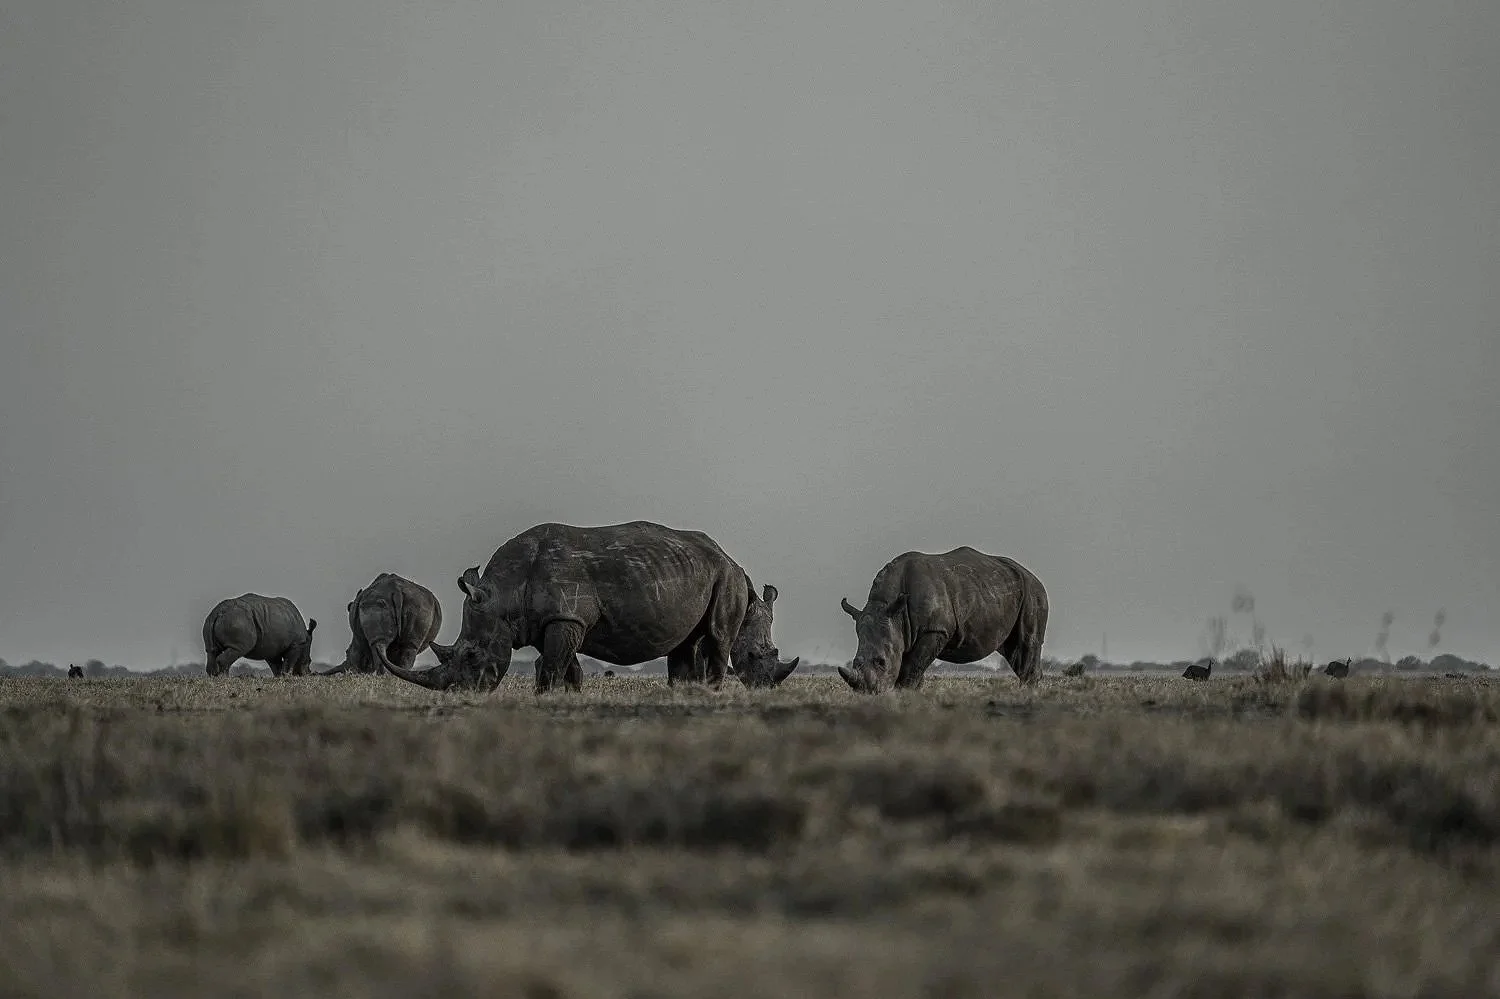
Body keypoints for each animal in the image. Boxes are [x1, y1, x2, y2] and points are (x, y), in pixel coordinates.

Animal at [382, 520, 799, 693]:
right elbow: (566, 666)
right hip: (698, 573)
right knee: (686, 642)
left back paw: (708, 694)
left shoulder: (565, 617)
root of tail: (731, 559)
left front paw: (545, 698)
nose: (461, 694)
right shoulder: (559, 620)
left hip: (724, 578)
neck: (502, 593)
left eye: (470, 656)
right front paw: (569, 698)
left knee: (715, 638)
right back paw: (685, 694)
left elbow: (552, 665)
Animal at [837, 547, 1048, 693]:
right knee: (1013, 650)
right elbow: (914, 669)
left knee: (1027, 642)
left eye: (881, 662)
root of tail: (1032, 575)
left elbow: (911, 669)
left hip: (1033, 593)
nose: (867, 692)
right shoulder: (905, 632)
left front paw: (903, 692)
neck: (889, 607)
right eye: (855, 662)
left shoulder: (934, 629)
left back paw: (1028, 694)